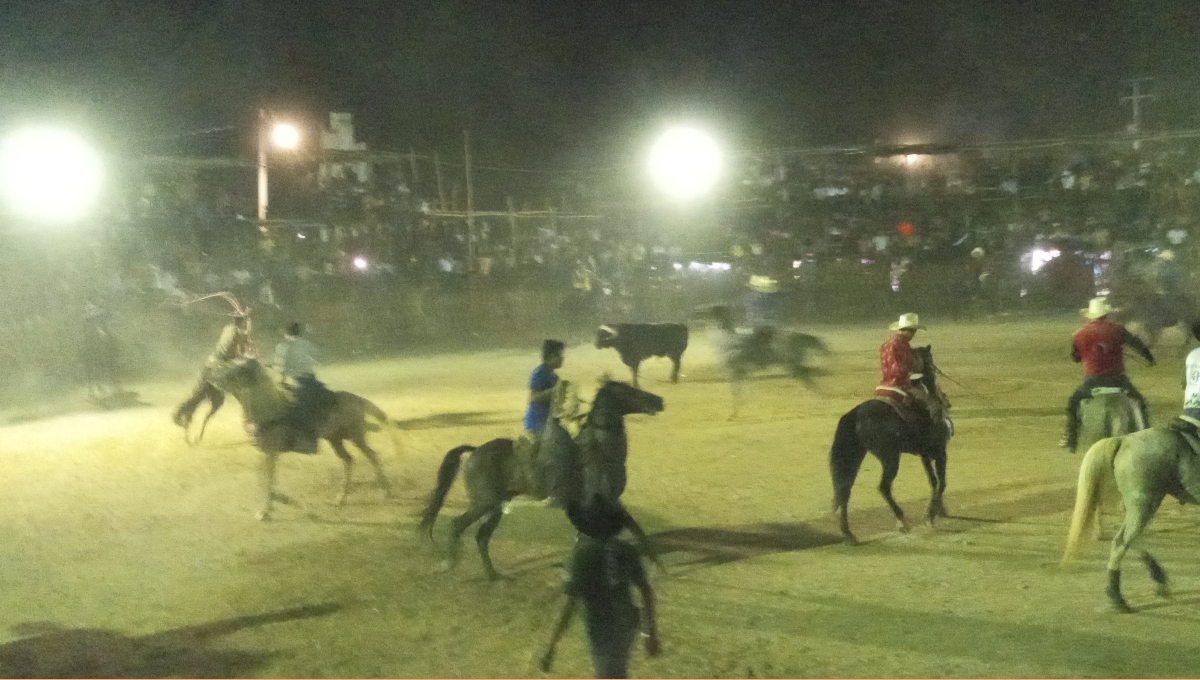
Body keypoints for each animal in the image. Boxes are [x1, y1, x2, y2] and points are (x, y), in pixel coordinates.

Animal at [180, 362, 400, 520]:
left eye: (232, 369)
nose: (208, 372)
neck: (267, 410)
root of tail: (358, 399)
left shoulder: (271, 452)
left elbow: (267, 479)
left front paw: (267, 510)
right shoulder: (265, 451)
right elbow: (264, 478)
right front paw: (280, 502)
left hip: (355, 436)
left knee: (372, 456)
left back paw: (387, 492)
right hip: (335, 438)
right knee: (348, 460)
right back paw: (341, 498)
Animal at [420, 378, 667, 580]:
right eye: (629, 390)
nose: (659, 400)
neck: (600, 451)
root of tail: (475, 450)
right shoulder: (608, 502)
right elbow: (635, 529)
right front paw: (659, 567)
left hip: (496, 507)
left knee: (482, 537)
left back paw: (492, 575)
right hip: (483, 503)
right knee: (457, 525)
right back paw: (448, 563)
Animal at [830, 347, 950, 544]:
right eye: (929, 360)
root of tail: (856, 413)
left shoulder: (925, 455)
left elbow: (933, 482)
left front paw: (936, 511)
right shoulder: (941, 452)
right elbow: (942, 483)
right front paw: (931, 515)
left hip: (856, 456)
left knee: (844, 490)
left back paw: (848, 533)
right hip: (890, 458)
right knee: (883, 487)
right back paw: (902, 522)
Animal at [1060, 426, 1200, 611]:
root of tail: (1123, 440)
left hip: (1141, 504)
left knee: (1128, 538)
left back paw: (1156, 580)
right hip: (1145, 502)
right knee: (1123, 541)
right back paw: (1117, 597)